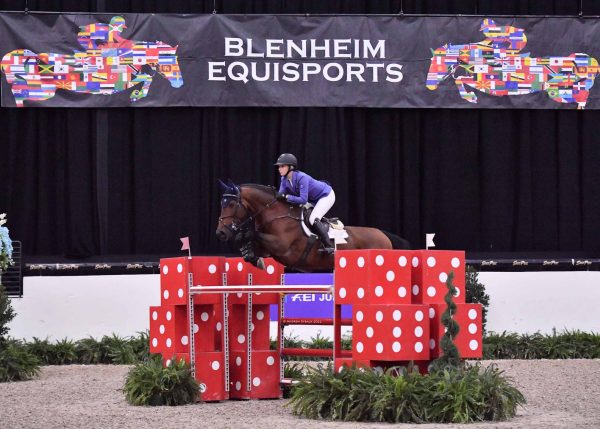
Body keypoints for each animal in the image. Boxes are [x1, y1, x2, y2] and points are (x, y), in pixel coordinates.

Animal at [0, 39, 183, 106]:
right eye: (170, 63)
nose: (179, 83)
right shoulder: (119, 83)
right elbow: (146, 78)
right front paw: (136, 95)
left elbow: (147, 78)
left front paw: (137, 95)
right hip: (45, 92)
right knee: (18, 93)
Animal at [213, 181, 410, 270]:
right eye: (221, 203)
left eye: (231, 204)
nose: (220, 233)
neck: (275, 214)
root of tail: (383, 235)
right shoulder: (269, 249)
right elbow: (251, 241)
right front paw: (250, 255)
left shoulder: (281, 246)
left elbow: (252, 234)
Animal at [424, 42, 596, 108]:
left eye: (438, 63)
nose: (429, 86)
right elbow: (460, 79)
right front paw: (470, 97)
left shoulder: (488, 85)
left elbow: (460, 79)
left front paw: (471, 97)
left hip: (559, 93)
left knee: (582, 98)